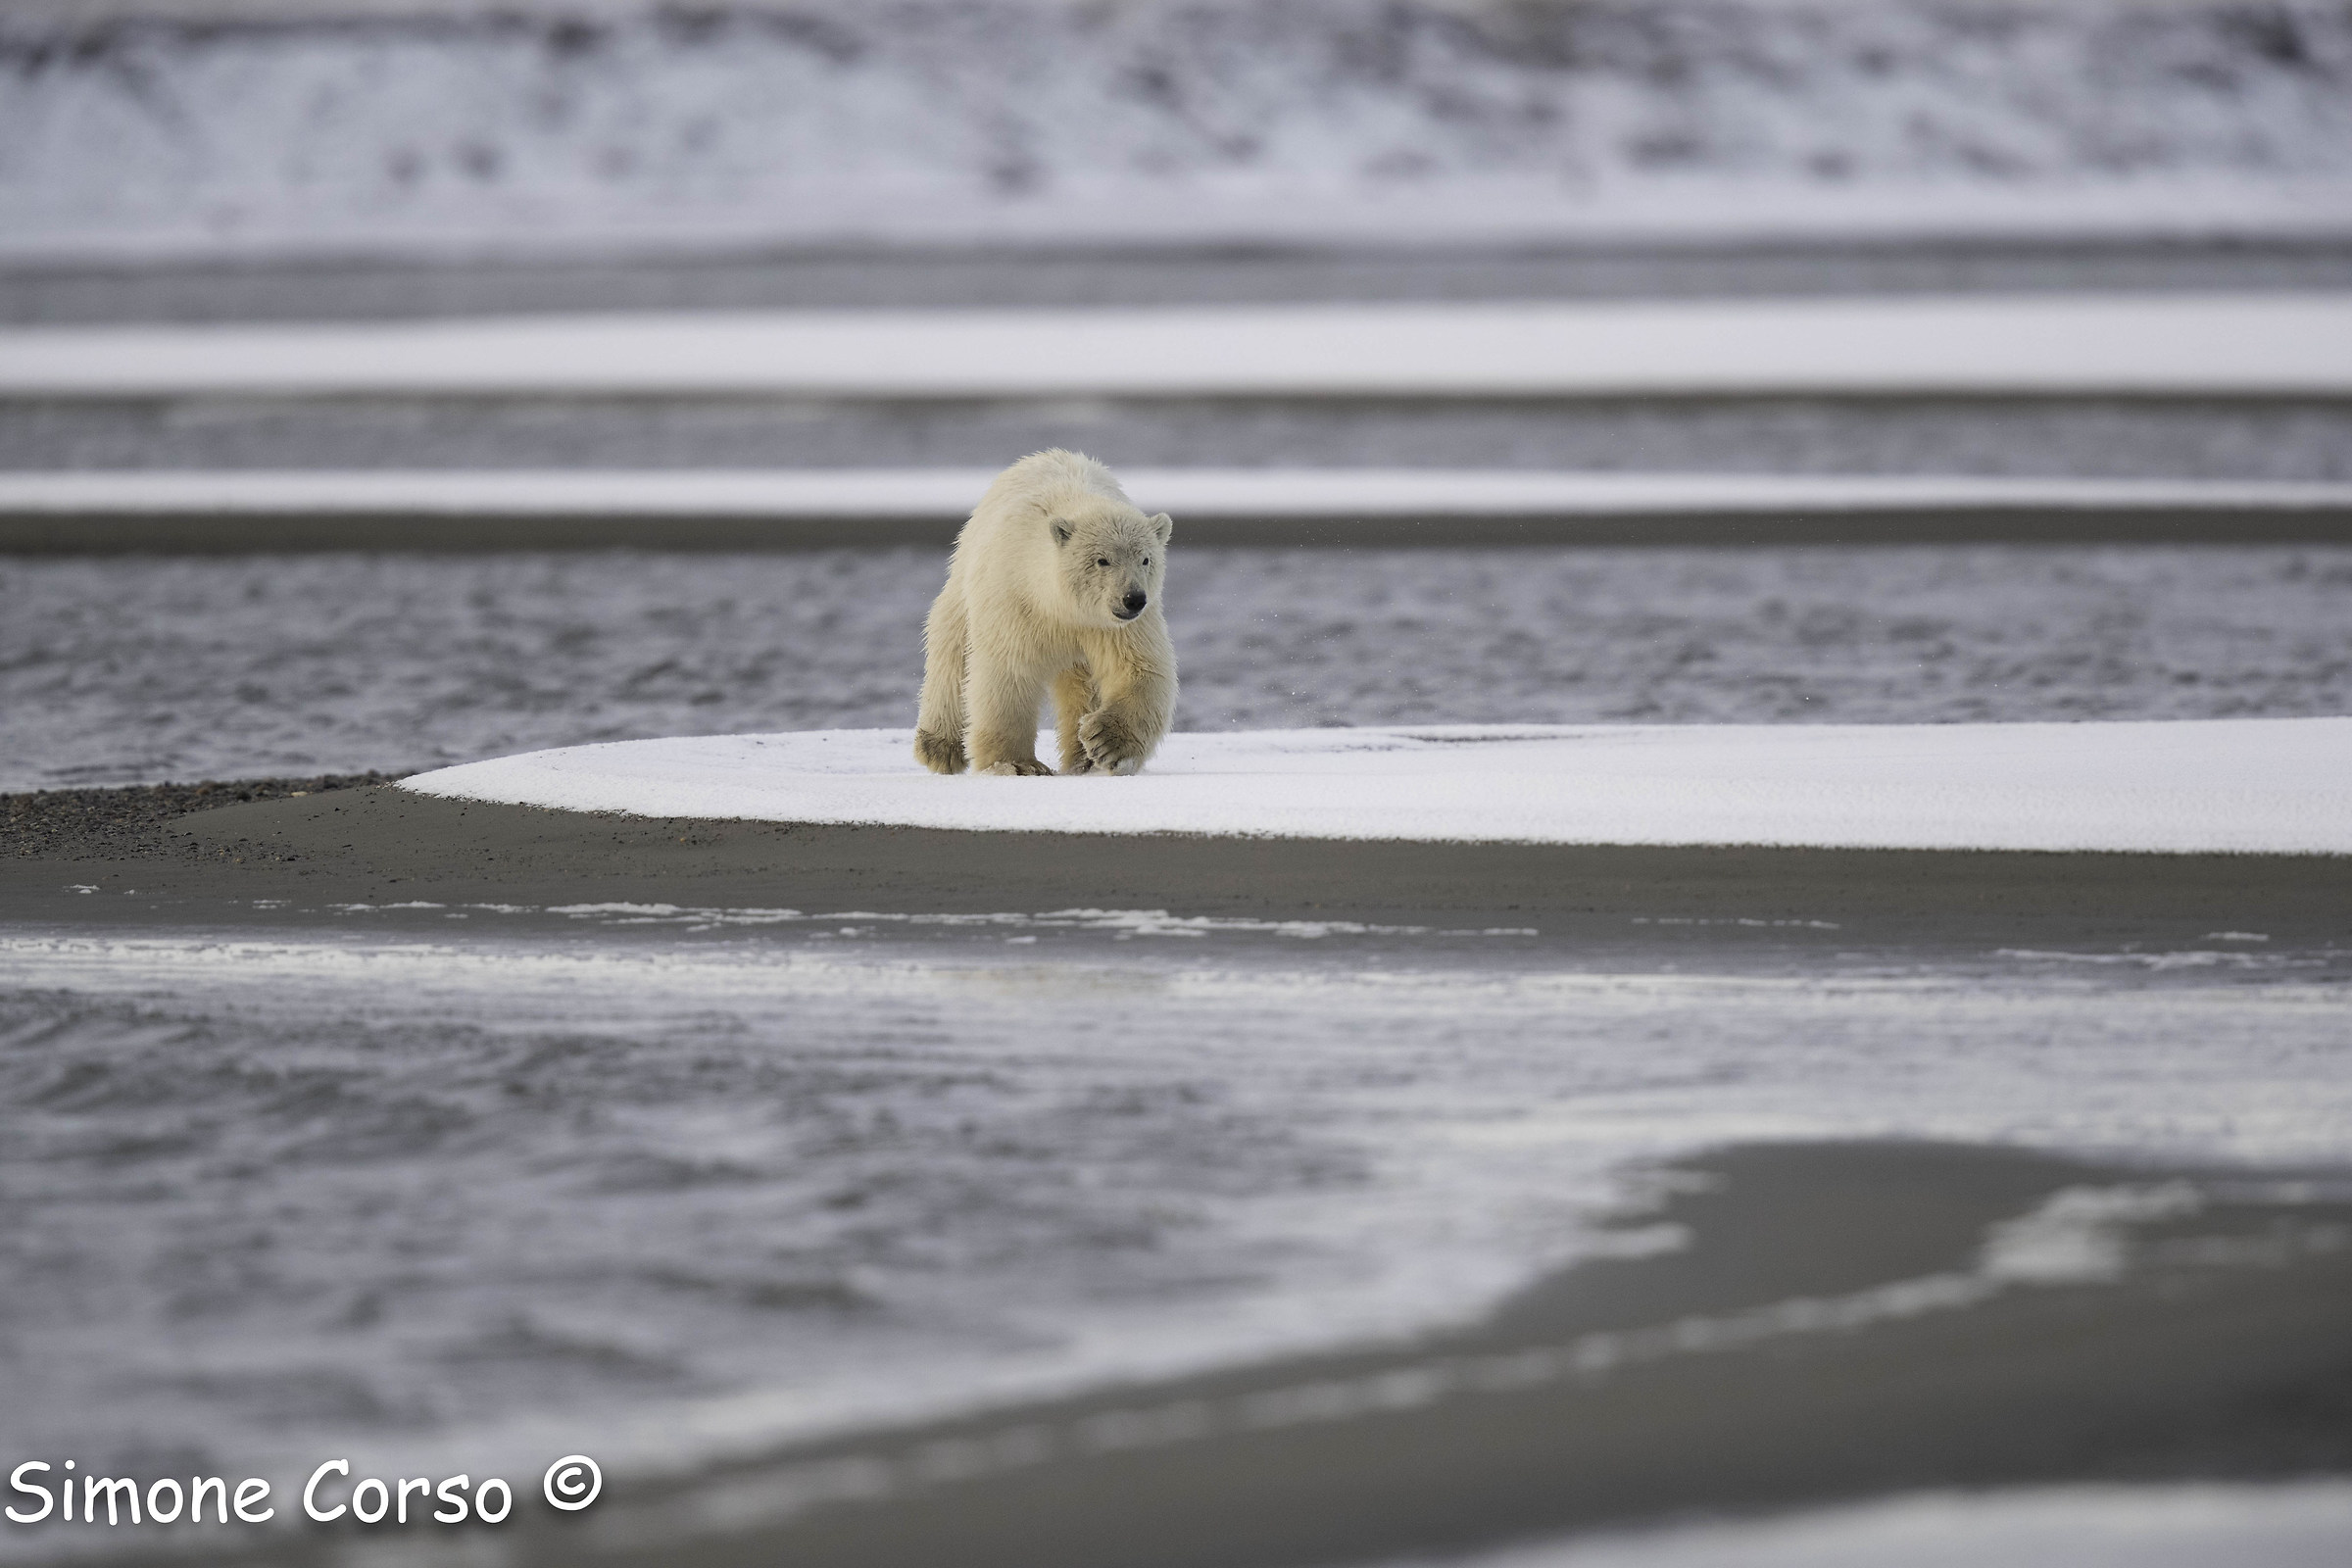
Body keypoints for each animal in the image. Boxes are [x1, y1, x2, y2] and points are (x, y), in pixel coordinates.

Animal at [914, 450, 1176, 778]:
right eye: (1102, 560)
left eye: (1145, 559)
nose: (1133, 599)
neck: (1058, 605)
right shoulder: (1015, 602)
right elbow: (1007, 673)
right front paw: (1017, 764)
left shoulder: (1114, 627)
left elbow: (1139, 667)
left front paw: (1106, 743)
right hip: (964, 578)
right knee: (951, 649)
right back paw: (939, 747)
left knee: (1082, 685)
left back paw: (1081, 760)